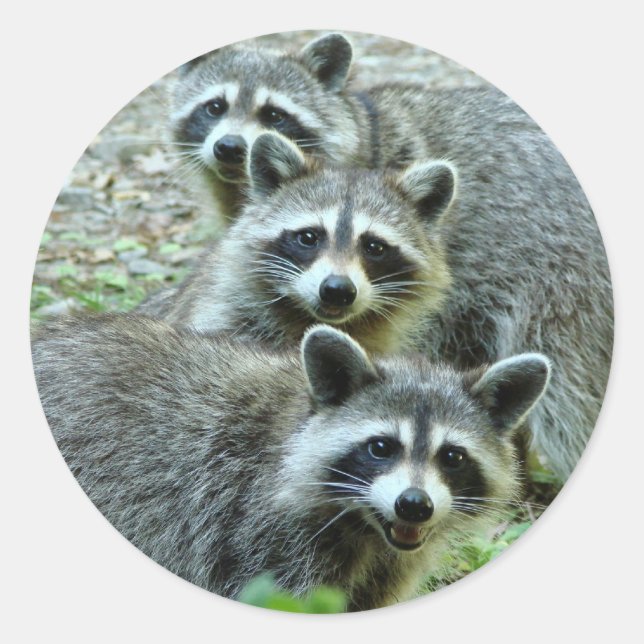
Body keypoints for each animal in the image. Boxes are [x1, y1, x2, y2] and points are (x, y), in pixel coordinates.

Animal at [32, 314, 550, 610]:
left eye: (452, 456)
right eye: (381, 447)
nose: (414, 505)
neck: (365, 527)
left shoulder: (389, 566)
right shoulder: (256, 532)